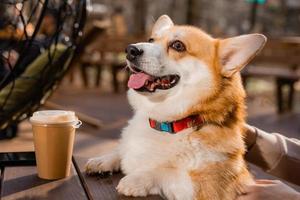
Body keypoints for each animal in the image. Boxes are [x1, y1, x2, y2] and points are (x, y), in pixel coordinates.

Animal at [85, 14, 266, 199]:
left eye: (178, 45)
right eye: (151, 40)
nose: (130, 50)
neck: (166, 123)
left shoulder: (201, 188)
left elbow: (164, 172)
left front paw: (135, 180)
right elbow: (121, 150)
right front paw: (103, 160)